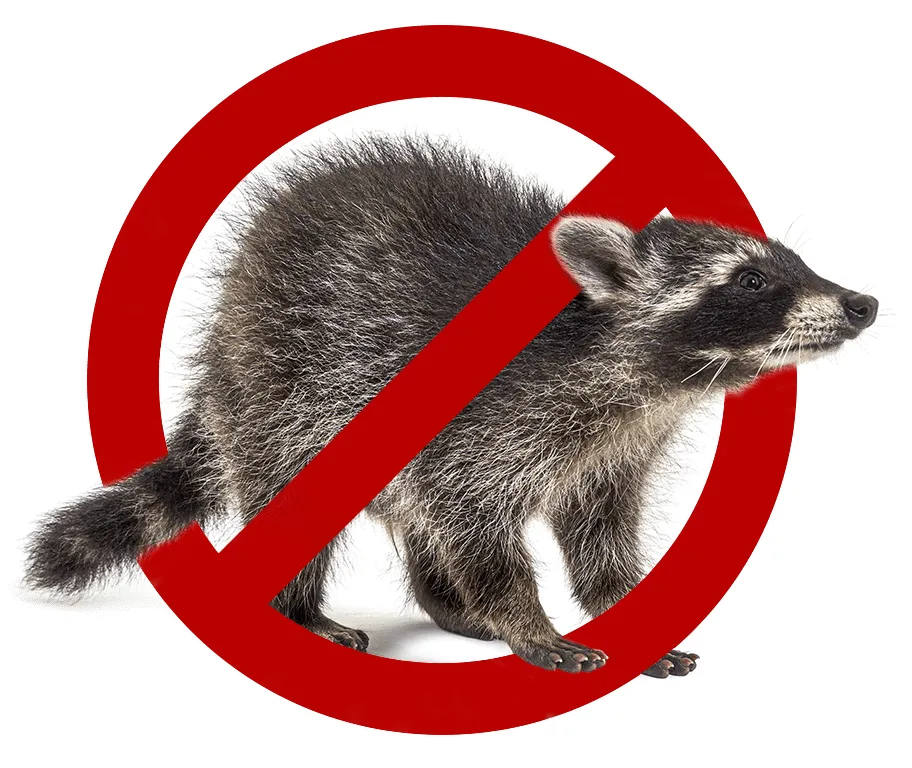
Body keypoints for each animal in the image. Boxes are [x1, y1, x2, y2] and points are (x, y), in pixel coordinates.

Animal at [24, 135, 877, 678]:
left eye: (793, 262)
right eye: (750, 281)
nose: (864, 302)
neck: (649, 381)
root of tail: (225, 333)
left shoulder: (614, 447)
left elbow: (599, 535)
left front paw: (624, 609)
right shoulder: (489, 423)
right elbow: (478, 525)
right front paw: (525, 617)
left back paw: (447, 602)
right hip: (280, 392)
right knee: (299, 505)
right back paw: (303, 610)